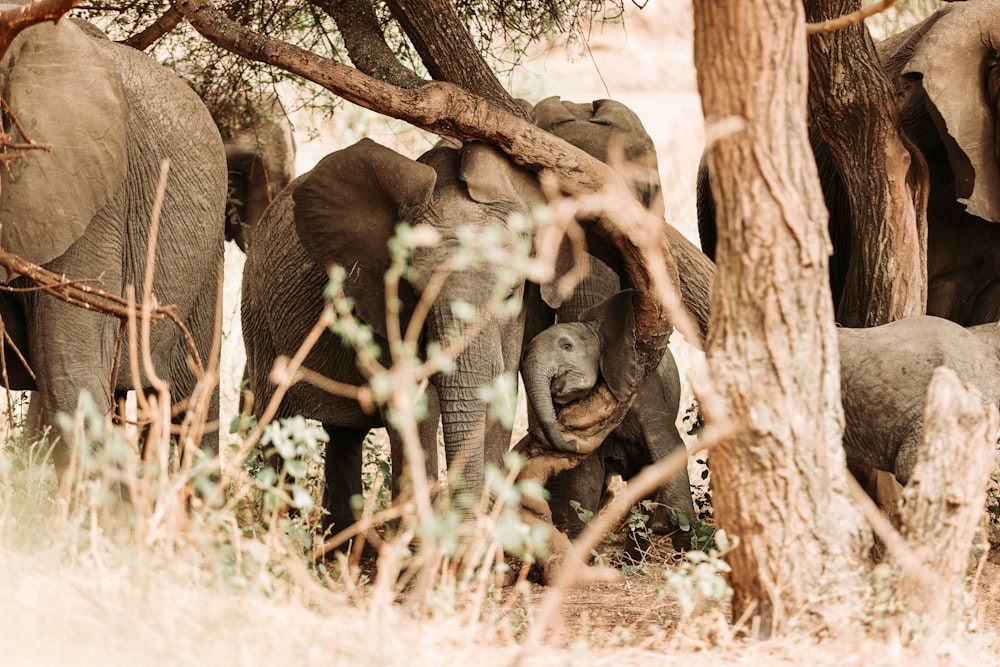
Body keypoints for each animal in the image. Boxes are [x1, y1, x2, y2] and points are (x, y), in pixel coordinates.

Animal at [243, 95, 676, 536]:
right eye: (414, 295)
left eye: (509, 292)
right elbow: (413, 402)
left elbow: (501, 388)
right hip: (256, 313)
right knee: (276, 422)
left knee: (344, 436)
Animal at [524, 290, 696, 552]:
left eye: (567, 346)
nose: (570, 442)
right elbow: (586, 478)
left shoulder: (645, 388)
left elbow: (669, 448)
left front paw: (686, 544)